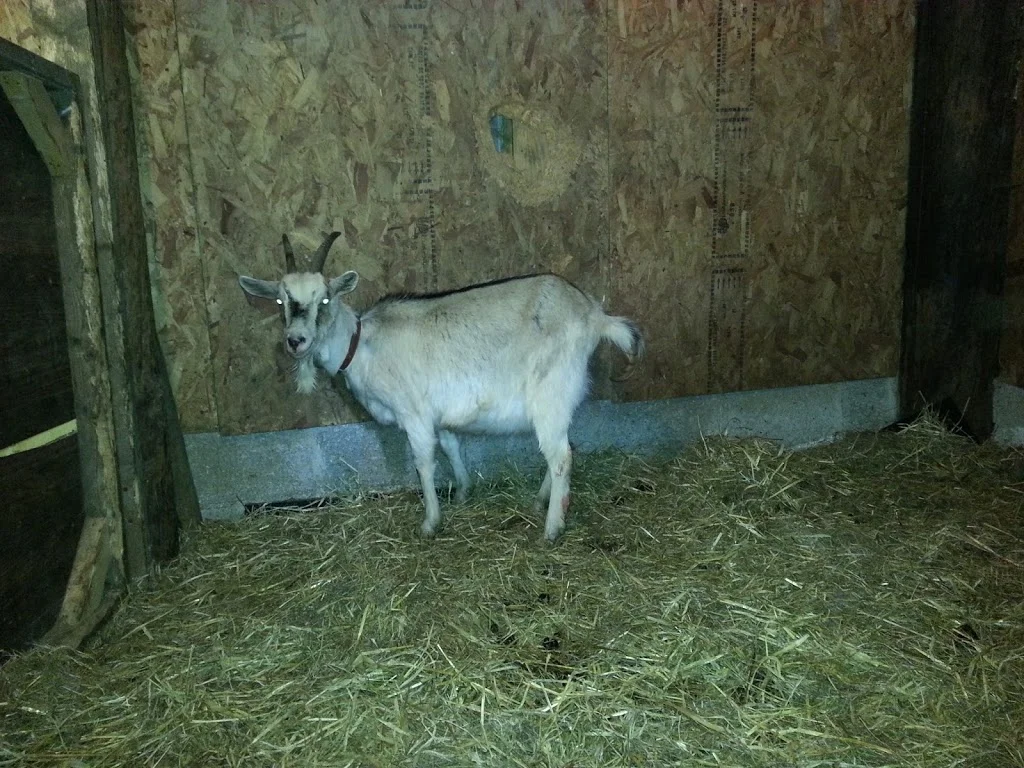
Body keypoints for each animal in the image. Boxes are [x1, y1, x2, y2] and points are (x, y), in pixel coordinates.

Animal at [238, 232, 645, 543]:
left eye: (324, 297)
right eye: (280, 299)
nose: (296, 341)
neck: (363, 344)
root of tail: (594, 315)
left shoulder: (414, 413)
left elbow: (424, 463)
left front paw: (430, 522)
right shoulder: (440, 414)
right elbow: (451, 446)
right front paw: (463, 491)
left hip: (550, 390)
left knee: (560, 456)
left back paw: (552, 529)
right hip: (560, 399)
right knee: (565, 446)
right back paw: (540, 502)